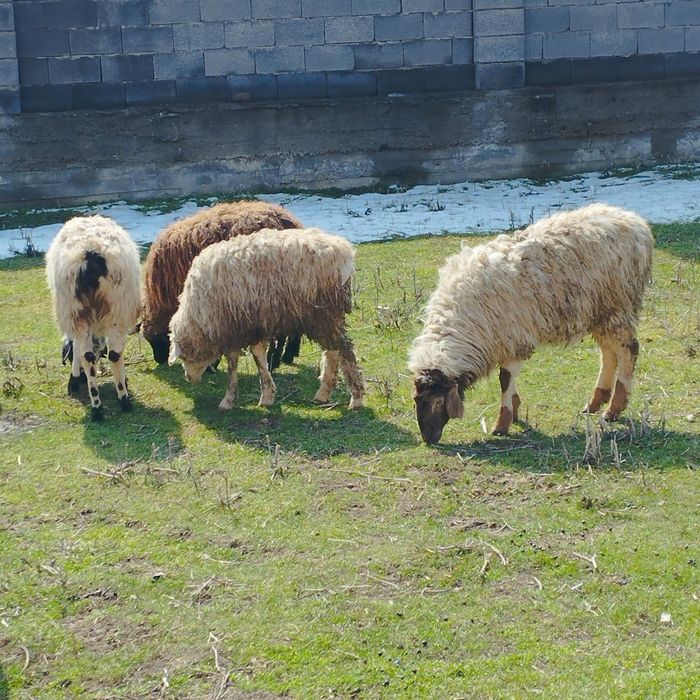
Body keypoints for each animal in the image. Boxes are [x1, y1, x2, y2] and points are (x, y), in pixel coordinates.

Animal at [45, 215, 141, 420]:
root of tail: (91, 253)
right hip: (114, 309)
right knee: (111, 355)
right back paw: (119, 400)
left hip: (78, 311)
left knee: (90, 355)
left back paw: (100, 406)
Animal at [140, 200, 303, 368]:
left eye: (153, 341)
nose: (159, 360)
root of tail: (291, 222)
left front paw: (213, 364)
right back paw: (288, 355)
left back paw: (275, 359)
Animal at [168, 228, 365, 411]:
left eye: (184, 356)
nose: (189, 378)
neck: (199, 315)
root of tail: (341, 249)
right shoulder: (252, 325)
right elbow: (258, 357)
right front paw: (267, 395)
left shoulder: (232, 328)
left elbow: (233, 365)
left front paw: (228, 399)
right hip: (323, 317)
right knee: (332, 351)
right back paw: (323, 394)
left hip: (324, 313)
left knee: (344, 350)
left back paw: (355, 398)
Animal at [408, 203, 653, 445]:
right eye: (416, 400)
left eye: (439, 402)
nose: (428, 439)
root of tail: (634, 221)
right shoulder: (506, 339)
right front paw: (515, 412)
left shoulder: (512, 335)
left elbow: (505, 379)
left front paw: (502, 423)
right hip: (600, 310)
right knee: (609, 353)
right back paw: (595, 403)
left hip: (618, 304)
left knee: (628, 351)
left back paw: (614, 409)